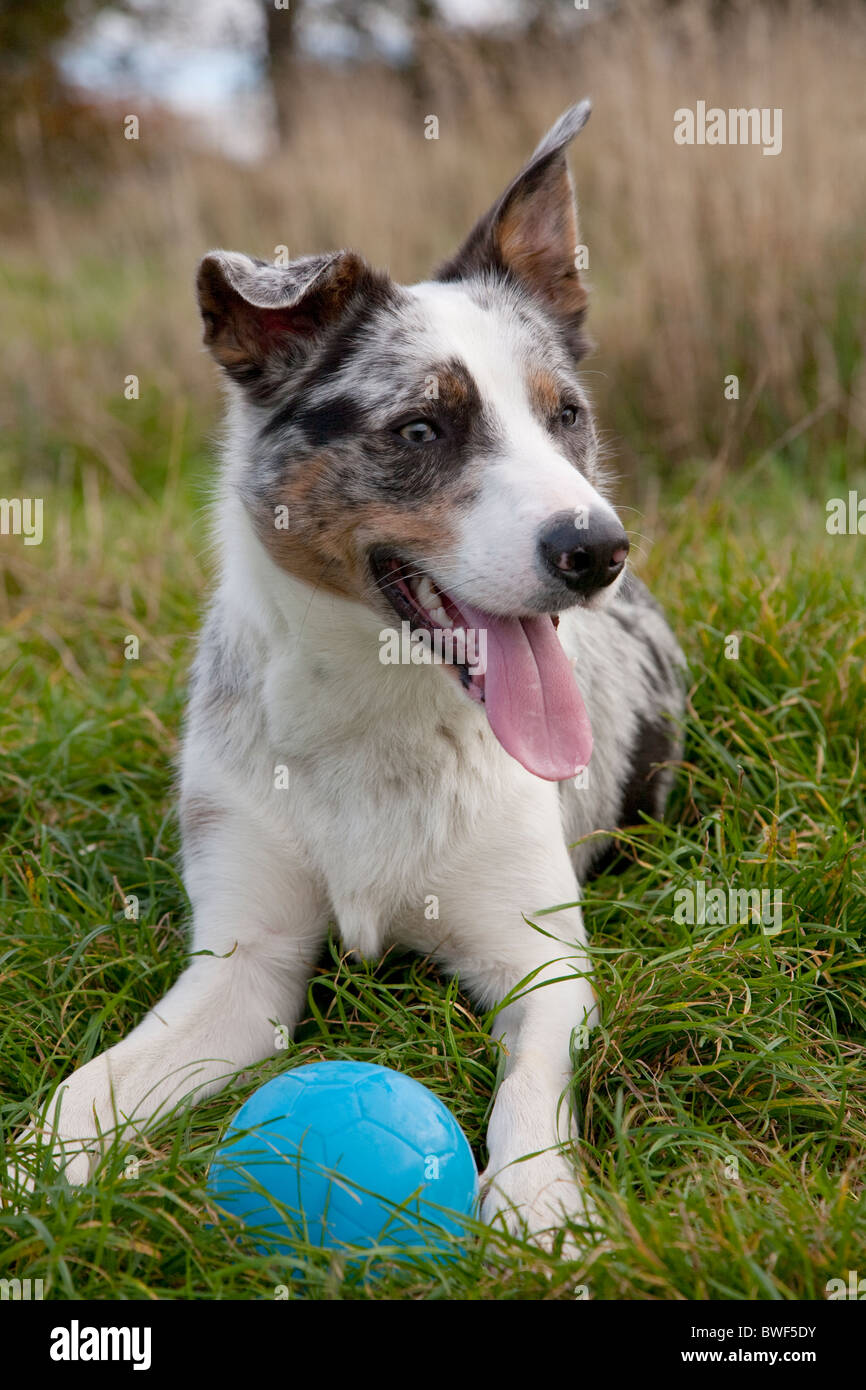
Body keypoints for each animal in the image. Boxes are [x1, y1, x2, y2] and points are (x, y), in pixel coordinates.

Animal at [16, 102, 683, 1245]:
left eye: (565, 415)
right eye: (419, 428)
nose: (595, 549)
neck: (381, 710)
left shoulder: (543, 964)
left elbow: (531, 1090)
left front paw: (538, 1207)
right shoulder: (243, 970)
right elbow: (89, 1086)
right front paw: (38, 1167)